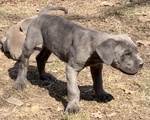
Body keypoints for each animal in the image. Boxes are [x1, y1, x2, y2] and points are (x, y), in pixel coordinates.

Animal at [13, 5, 144, 114]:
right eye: (127, 53)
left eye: (137, 51)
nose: (142, 64)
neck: (93, 47)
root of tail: (42, 14)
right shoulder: (71, 68)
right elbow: (73, 90)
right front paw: (73, 107)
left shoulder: (97, 66)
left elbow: (98, 82)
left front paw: (102, 95)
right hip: (29, 45)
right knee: (23, 63)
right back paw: (20, 83)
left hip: (49, 45)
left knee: (40, 58)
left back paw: (44, 76)